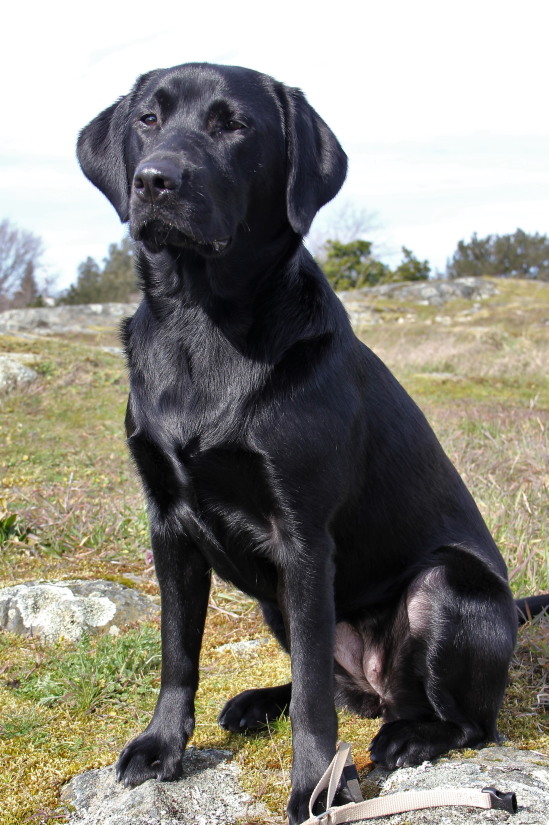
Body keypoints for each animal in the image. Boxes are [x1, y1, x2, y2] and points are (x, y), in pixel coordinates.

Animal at [77, 64, 536, 824]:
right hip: (274, 600)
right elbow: (178, 653)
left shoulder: (302, 534)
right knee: (321, 678)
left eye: (233, 125)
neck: (200, 325)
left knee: (463, 718)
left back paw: (411, 736)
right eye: (147, 119)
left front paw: (317, 785)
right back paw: (262, 700)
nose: (154, 180)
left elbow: (315, 702)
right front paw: (161, 745)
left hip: (445, 585)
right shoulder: (168, 523)